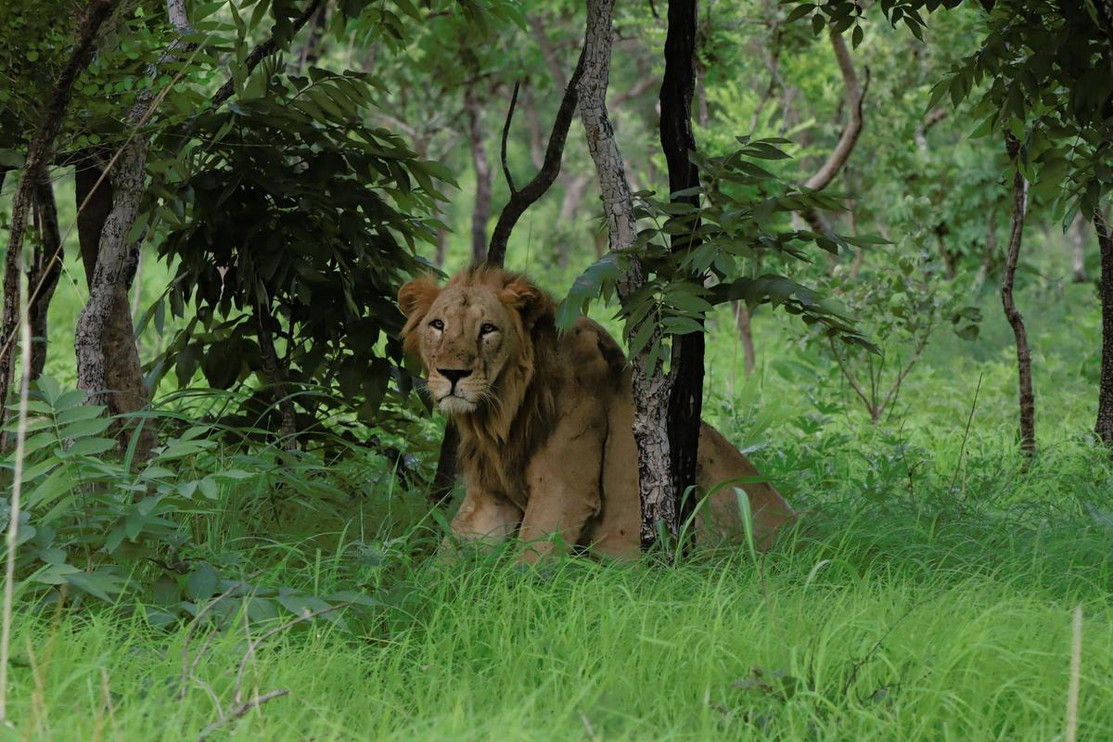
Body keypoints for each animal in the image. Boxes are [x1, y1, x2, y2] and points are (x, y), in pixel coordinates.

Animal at [398, 266, 795, 561]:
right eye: (438, 325)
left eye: (488, 329)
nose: (452, 374)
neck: (502, 414)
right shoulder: (489, 498)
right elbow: (444, 560)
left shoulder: (565, 491)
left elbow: (523, 567)